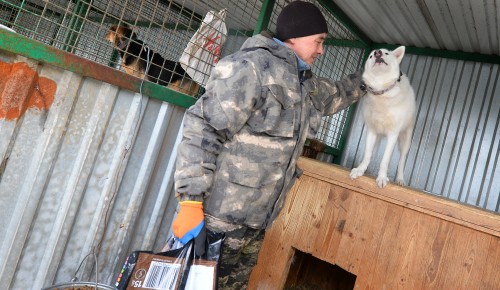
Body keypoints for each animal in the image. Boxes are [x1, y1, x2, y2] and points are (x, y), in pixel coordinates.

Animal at [350, 45, 416, 188]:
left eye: (386, 53)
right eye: (370, 56)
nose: (377, 52)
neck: (382, 91)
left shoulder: (393, 135)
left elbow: (385, 160)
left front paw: (381, 177)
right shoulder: (372, 131)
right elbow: (367, 155)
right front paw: (359, 170)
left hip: (405, 141)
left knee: (401, 161)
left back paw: (400, 179)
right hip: (377, 138)